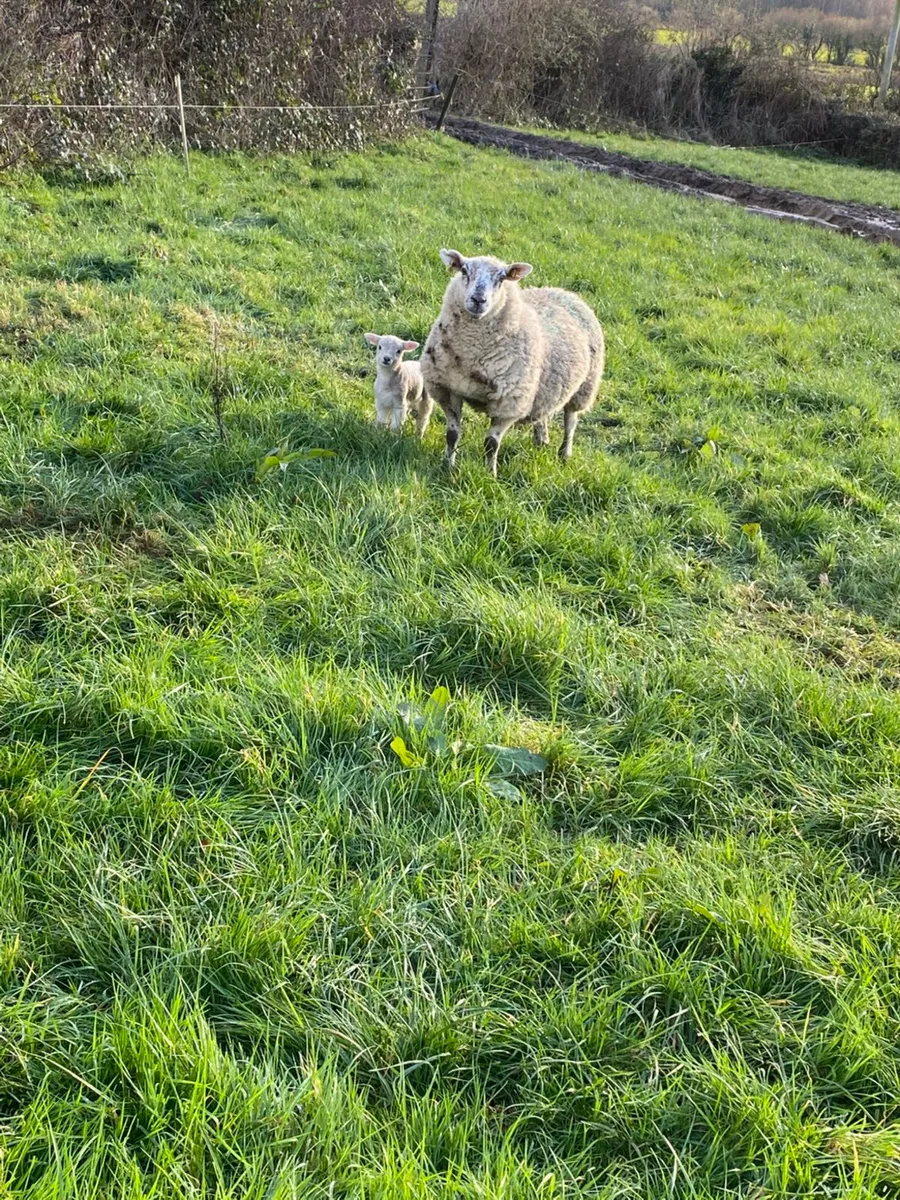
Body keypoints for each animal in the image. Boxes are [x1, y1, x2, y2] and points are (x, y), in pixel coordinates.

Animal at [419, 249, 605, 476]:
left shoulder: (508, 403)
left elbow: (491, 444)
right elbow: (452, 435)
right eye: (464, 271)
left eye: (501, 278)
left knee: (571, 421)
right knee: (542, 414)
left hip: (584, 387)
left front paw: (490, 474)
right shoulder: (450, 389)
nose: (478, 299)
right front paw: (448, 466)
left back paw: (564, 454)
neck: (471, 354)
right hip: (542, 387)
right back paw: (541, 440)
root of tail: (566, 293)